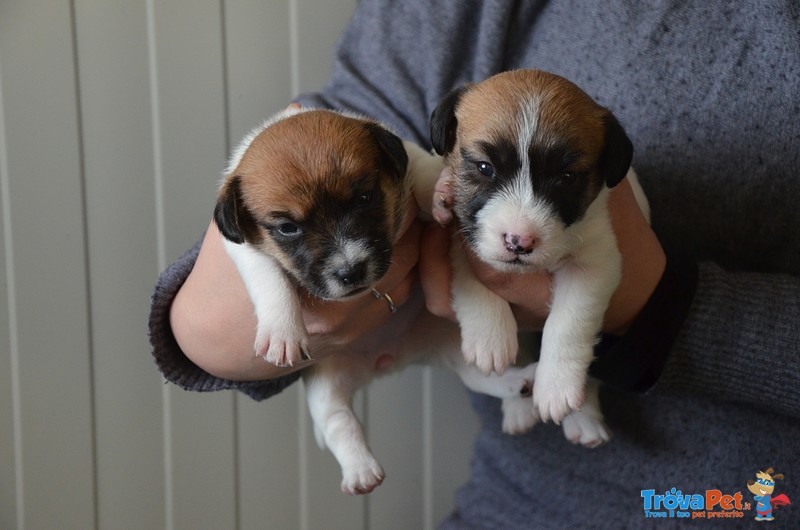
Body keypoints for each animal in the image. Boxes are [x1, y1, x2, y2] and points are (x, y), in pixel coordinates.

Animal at [212, 107, 544, 496]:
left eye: (364, 198)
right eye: (287, 228)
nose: (351, 271)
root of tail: (391, 360)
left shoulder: (408, 160)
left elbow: (424, 171)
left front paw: (440, 194)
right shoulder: (246, 252)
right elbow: (271, 281)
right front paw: (282, 332)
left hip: (459, 347)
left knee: (483, 376)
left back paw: (520, 385)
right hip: (327, 385)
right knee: (339, 420)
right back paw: (360, 469)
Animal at [432, 70, 648, 422]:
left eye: (567, 177)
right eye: (484, 167)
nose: (519, 241)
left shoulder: (595, 264)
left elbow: (569, 323)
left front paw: (557, 384)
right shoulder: (464, 233)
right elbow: (471, 279)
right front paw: (489, 335)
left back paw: (584, 420)